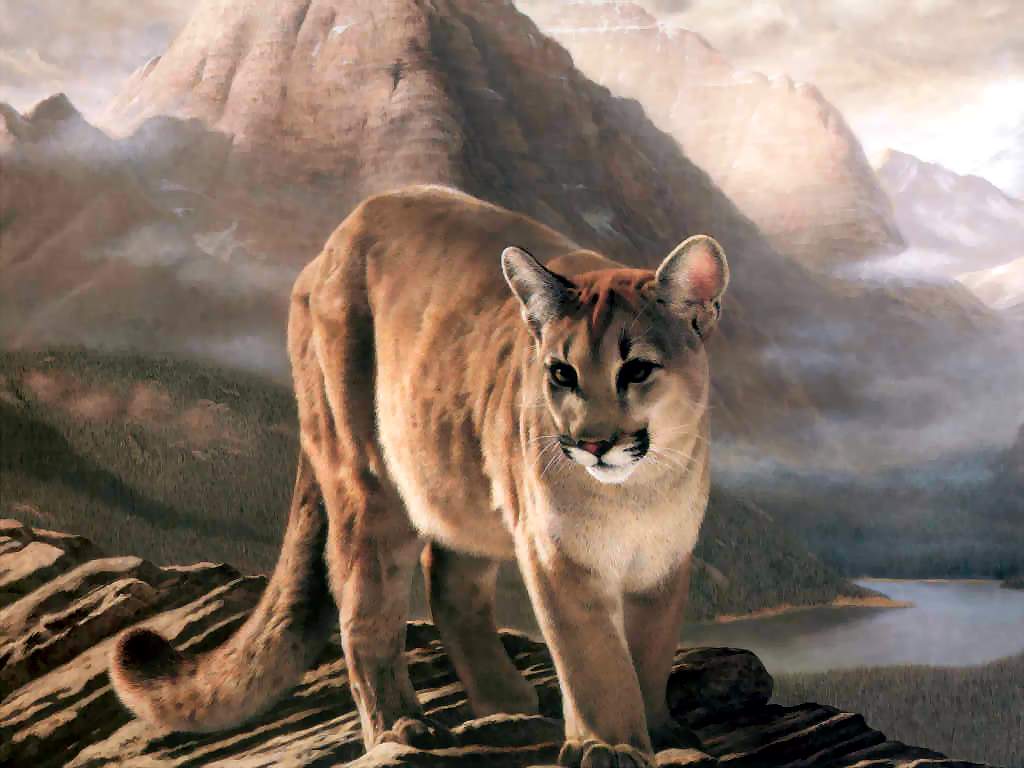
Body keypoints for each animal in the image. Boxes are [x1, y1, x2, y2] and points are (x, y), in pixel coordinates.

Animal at [110, 184, 729, 767]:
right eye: (561, 372)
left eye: (638, 369)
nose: (593, 442)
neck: (638, 493)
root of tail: (332, 242)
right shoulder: (557, 554)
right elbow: (594, 657)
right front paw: (610, 745)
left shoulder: (665, 558)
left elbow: (651, 650)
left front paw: (663, 731)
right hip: (367, 476)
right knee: (365, 605)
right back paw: (400, 726)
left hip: (452, 471)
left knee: (450, 581)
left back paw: (506, 703)